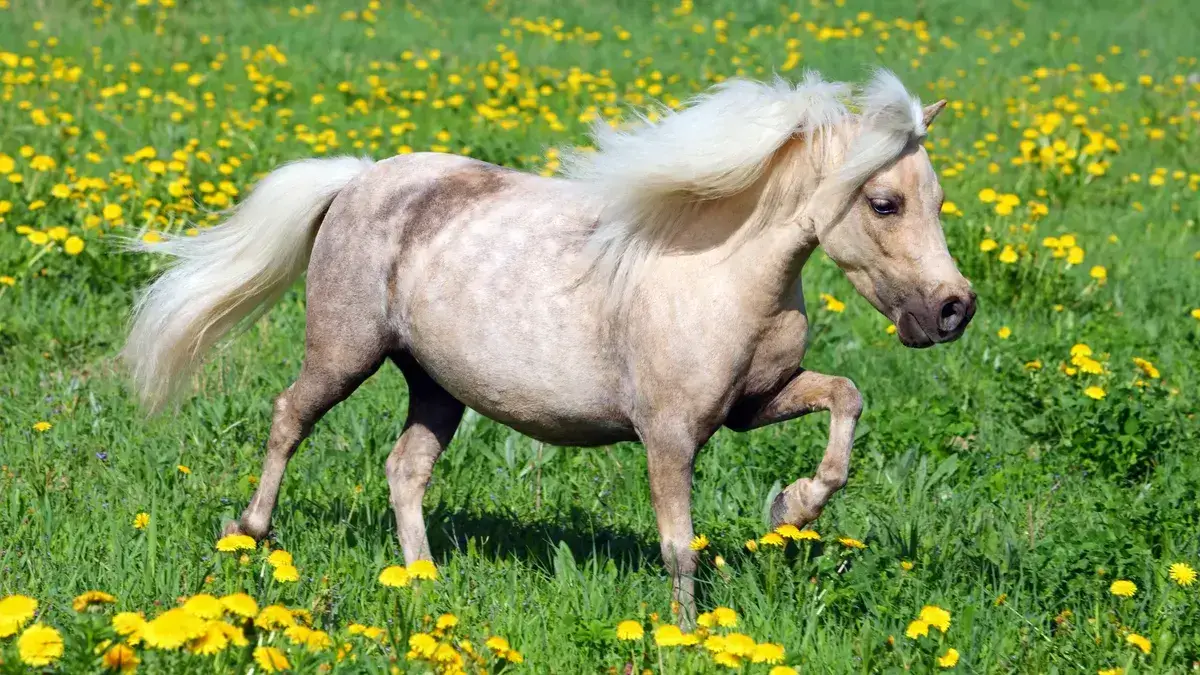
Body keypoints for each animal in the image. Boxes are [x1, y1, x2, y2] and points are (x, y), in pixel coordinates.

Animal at [123, 69, 975, 624]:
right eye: (884, 202)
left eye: (936, 200)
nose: (953, 310)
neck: (718, 269)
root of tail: (360, 179)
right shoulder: (669, 434)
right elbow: (679, 545)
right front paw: (687, 632)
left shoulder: (754, 403)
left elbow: (845, 398)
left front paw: (791, 508)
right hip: (344, 351)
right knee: (288, 417)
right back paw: (249, 533)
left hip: (437, 386)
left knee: (404, 469)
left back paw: (425, 580)